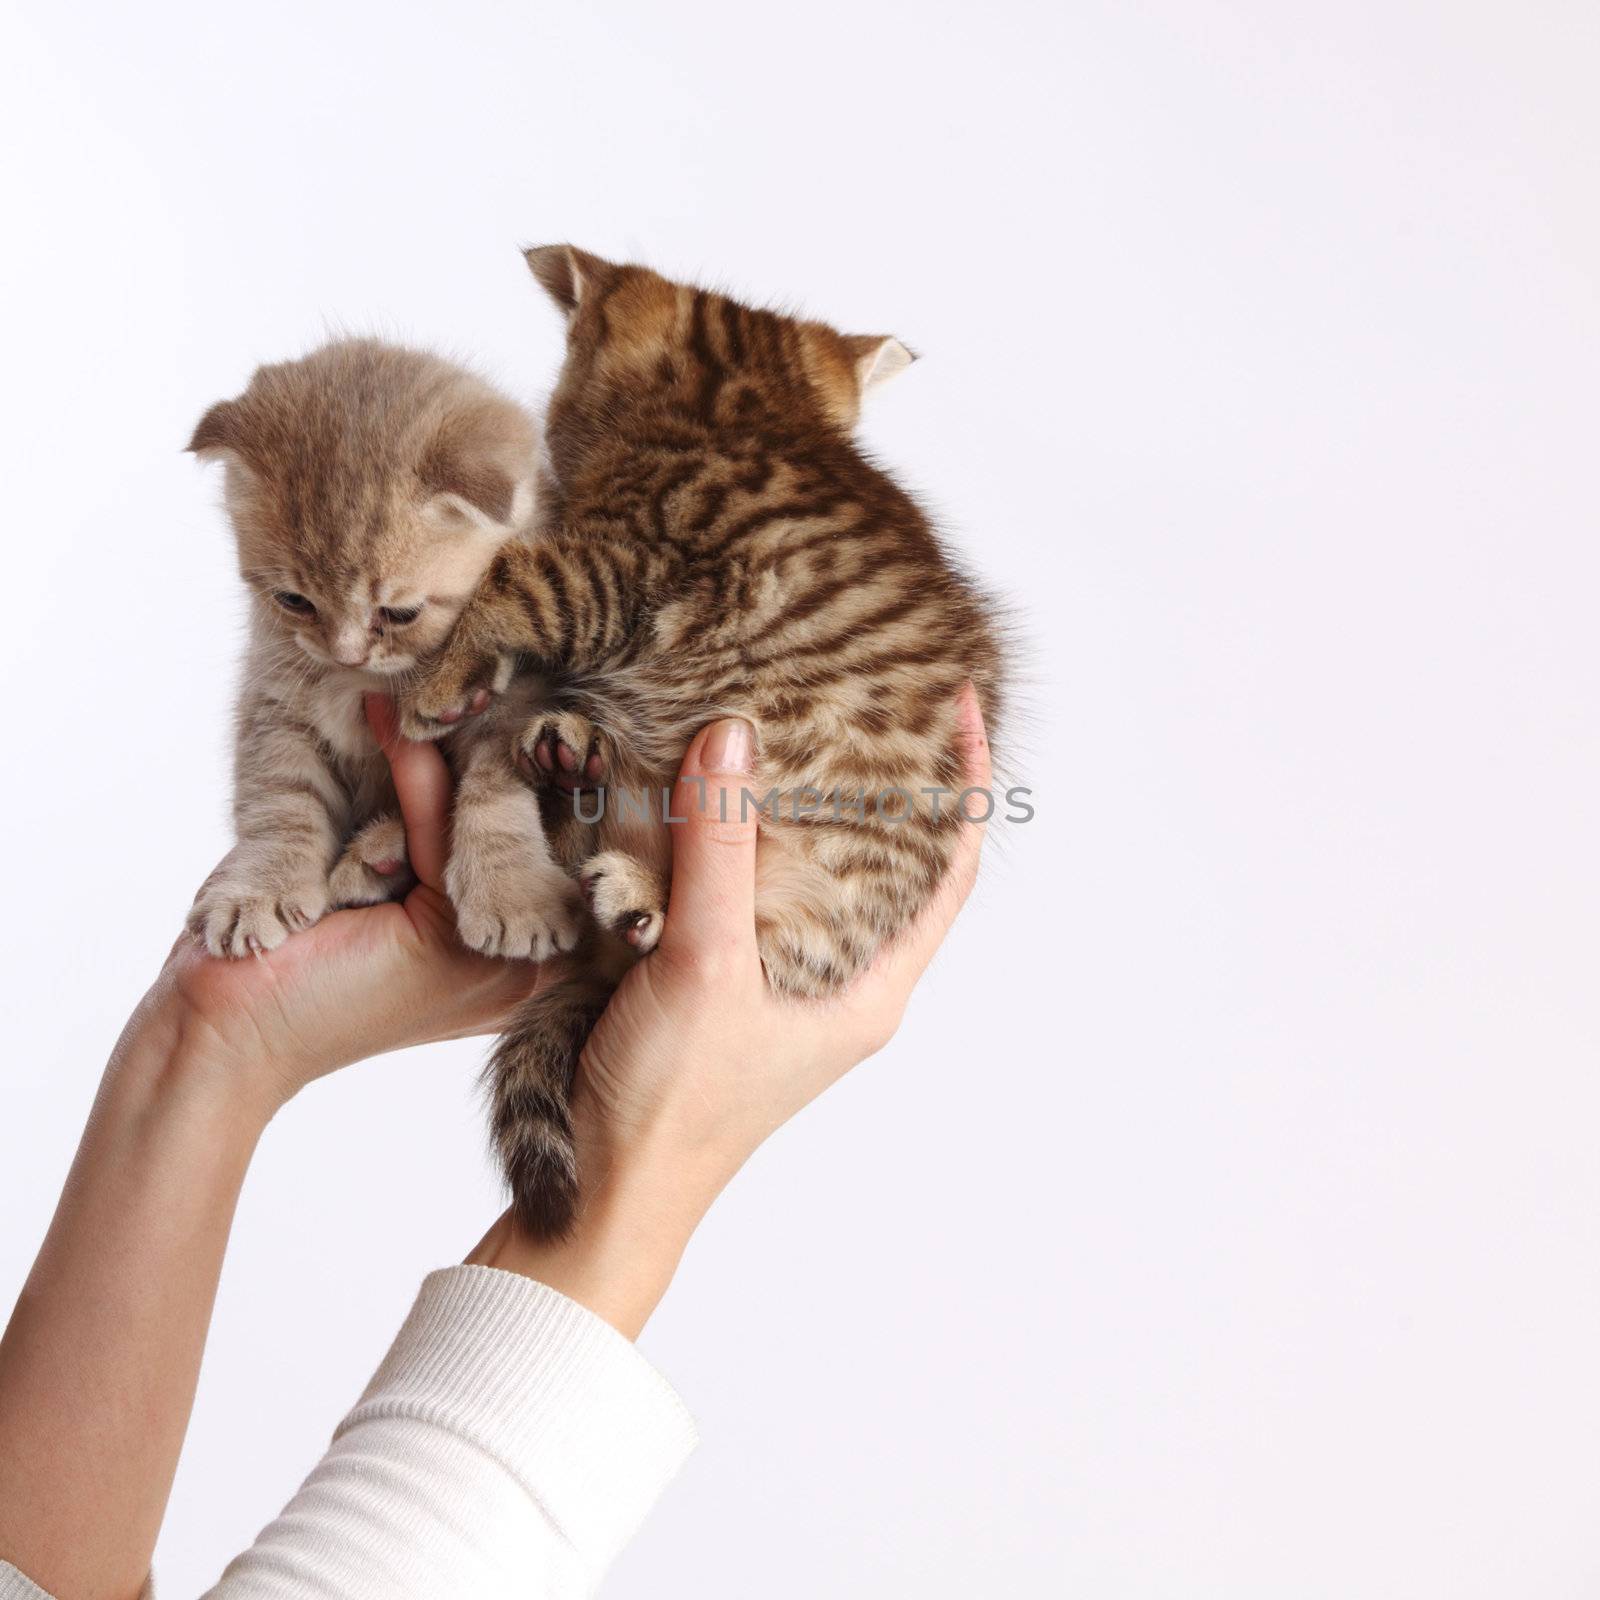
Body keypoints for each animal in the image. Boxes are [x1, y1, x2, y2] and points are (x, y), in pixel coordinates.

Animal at [184, 337, 582, 960]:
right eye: (293, 601)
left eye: (400, 613)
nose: (346, 654)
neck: (363, 683)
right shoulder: (274, 704)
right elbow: (280, 801)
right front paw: (258, 889)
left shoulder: (516, 705)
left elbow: (496, 795)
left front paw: (513, 894)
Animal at [400, 246, 998, 1235]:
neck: (733, 399)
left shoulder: (617, 565)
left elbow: (514, 577)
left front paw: (435, 683)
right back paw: (573, 756)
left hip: (811, 898)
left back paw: (641, 892)